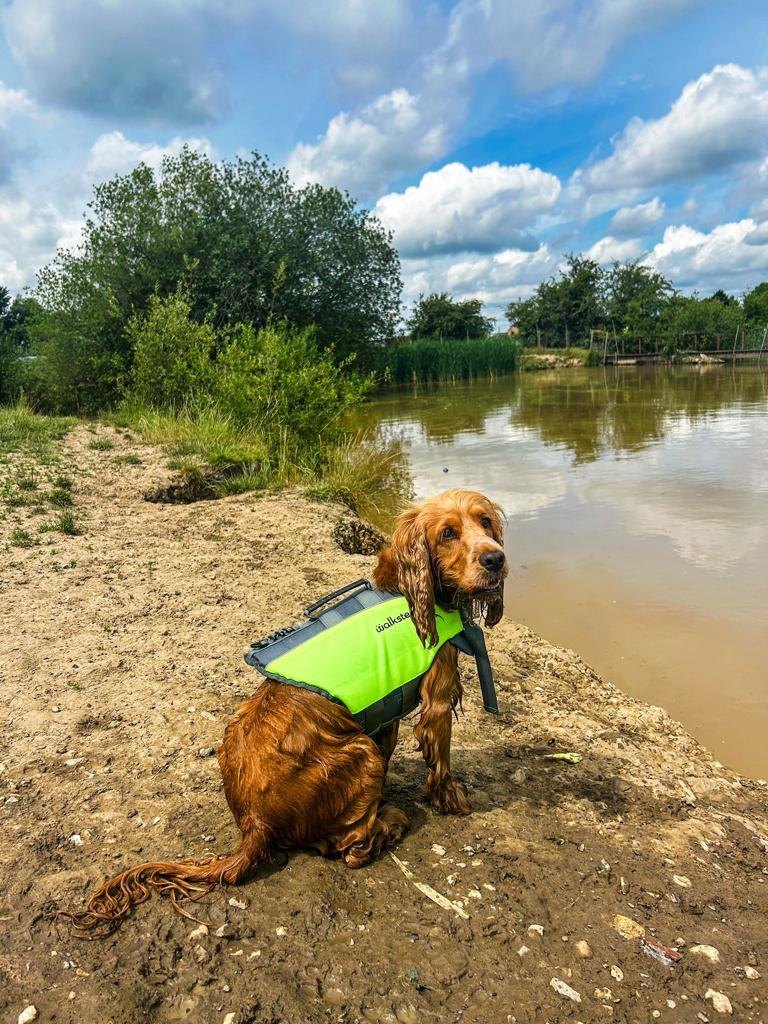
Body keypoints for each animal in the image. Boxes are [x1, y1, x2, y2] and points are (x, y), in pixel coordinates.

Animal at [60, 489, 505, 937]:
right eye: (447, 533)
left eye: (485, 522)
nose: (496, 559)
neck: (410, 588)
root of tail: (254, 824)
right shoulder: (437, 698)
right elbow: (441, 760)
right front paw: (452, 800)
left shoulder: (385, 716)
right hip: (360, 754)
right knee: (349, 848)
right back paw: (390, 821)